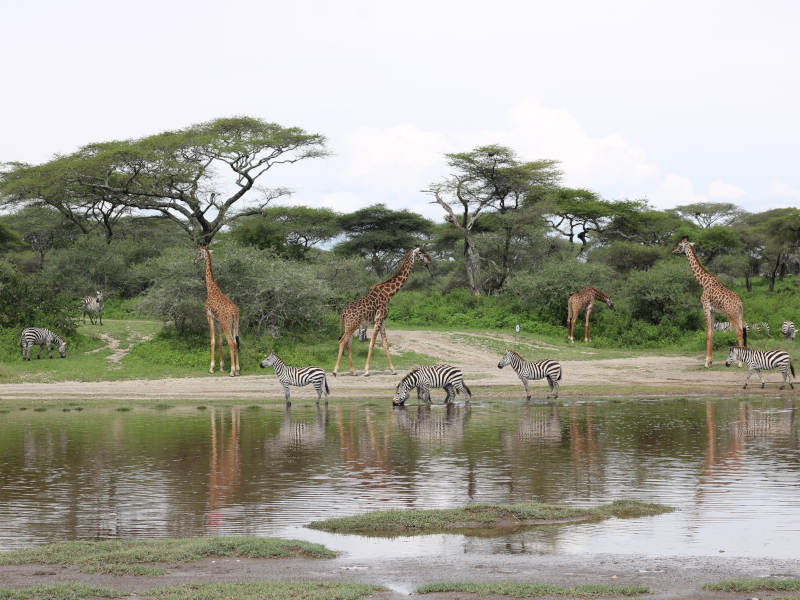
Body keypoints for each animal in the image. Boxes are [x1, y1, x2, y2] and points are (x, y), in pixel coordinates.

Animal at [195, 244, 241, 376]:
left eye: (199, 253)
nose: (195, 261)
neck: (211, 289)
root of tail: (234, 313)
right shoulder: (218, 321)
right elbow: (220, 341)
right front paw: (221, 367)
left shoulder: (209, 316)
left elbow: (213, 340)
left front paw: (211, 368)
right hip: (235, 324)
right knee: (236, 342)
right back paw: (237, 369)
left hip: (227, 324)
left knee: (231, 342)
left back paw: (232, 371)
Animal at [332, 246, 432, 378]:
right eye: (420, 253)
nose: (429, 259)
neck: (389, 294)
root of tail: (343, 312)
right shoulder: (379, 319)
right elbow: (372, 343)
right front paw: (367, 371)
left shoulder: (383, 320)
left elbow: (385, 343)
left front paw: (393, 370)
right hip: (352, 325)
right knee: (342, 341)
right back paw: (335, 371)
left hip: (351, 325)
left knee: (348, 343)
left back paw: (353, 371)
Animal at [672, 236, 748, 368]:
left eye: (680, 245)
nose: (673, 250)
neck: (703, 282)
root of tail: (740, 303)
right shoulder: (713, 311)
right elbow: (712, 333)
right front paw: (710, 361)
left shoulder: (706, 307)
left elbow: (707, 333)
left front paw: (706, 362)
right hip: (739, 314)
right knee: (743, 331)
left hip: (731, 314)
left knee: (738, 332)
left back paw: (739, 363)